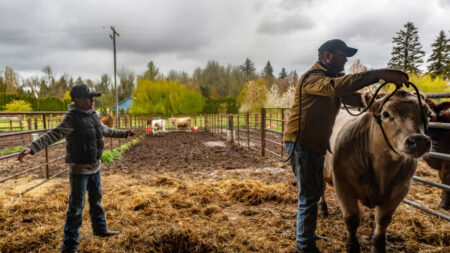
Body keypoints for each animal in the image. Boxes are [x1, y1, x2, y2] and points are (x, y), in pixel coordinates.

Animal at [320, 90, 432, 252]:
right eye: (385, 114)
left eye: (428, 115)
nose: (419, 141)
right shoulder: (342, 183)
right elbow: (351, 219)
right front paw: (352, 246)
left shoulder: (401, 189)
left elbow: (383, 220)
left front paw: (378, 246)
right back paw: (322, 209)